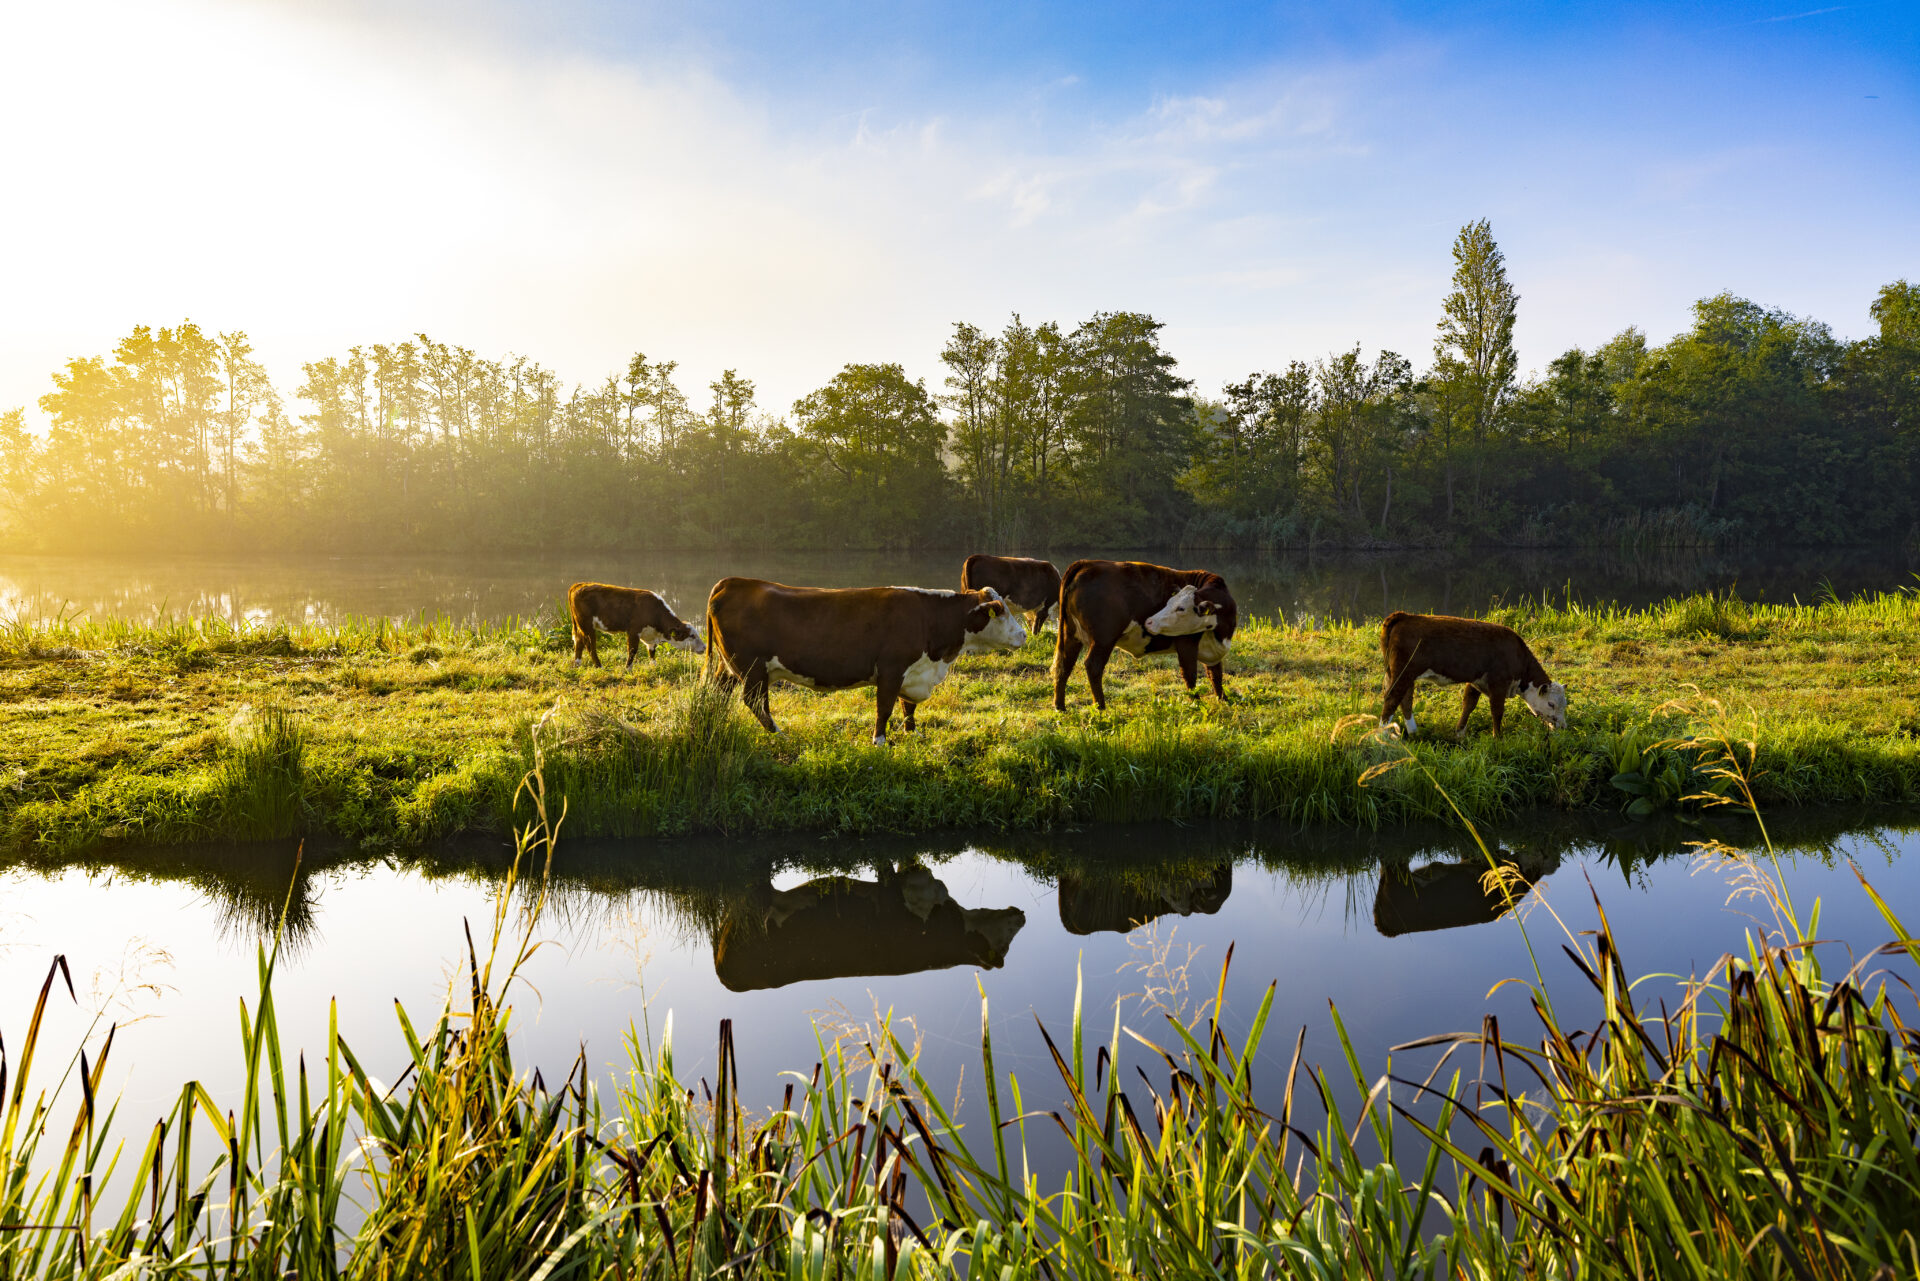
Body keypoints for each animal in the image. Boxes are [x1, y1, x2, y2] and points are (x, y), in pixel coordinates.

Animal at [564, 580, 710, 668]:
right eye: (691, 636)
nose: (704, 647)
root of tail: (579, 584)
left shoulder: (650, 635)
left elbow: (652, 650)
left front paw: (654, 665)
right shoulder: (634, 631)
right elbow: (632, 650)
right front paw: (628, 668)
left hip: (579, 625)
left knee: (578, 642)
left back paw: (577, 663)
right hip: (587, 625)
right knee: (590, 645)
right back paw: (599, 666)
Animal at [702, 580, 1029, 745]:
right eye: (1000, 611)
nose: (1024, 634)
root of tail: (735, 582)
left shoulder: (913, 673)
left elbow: (908, 706)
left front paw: (912, 733)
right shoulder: (891, 669)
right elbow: (885, 707)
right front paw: (879, 741)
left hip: (727, 666)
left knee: (718, 693)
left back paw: (714, 721)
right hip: (752, 667)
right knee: (755, 701)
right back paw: (780, 734)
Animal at [1059, 556, 1236, 710]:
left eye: (1181, 608)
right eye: (1169, 603)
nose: (1149, 622)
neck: (1220, 634)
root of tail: (1088, 563)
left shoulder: (1213, 652)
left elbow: (1216, 675)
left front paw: (1224, 700)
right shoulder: (1186, 643)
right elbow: (1190, 674)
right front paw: (1196, 703)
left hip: (1071, 634)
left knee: (1063, 664)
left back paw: (1060, 707)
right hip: (1104, 639)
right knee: (1093, 666)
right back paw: (1101, 707)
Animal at [1390, 614, 1566, 741]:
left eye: (1565, 704)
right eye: (1551, 703)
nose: (1563, 726)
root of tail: (1403, 616)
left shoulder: (1476, 682)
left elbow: (1468, 704)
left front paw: (1460, 732)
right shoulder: (1498, 684)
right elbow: (1497, 711)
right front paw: (1497, 738)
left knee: (1405, 700)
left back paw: (1413, 732)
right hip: (1402, 674)